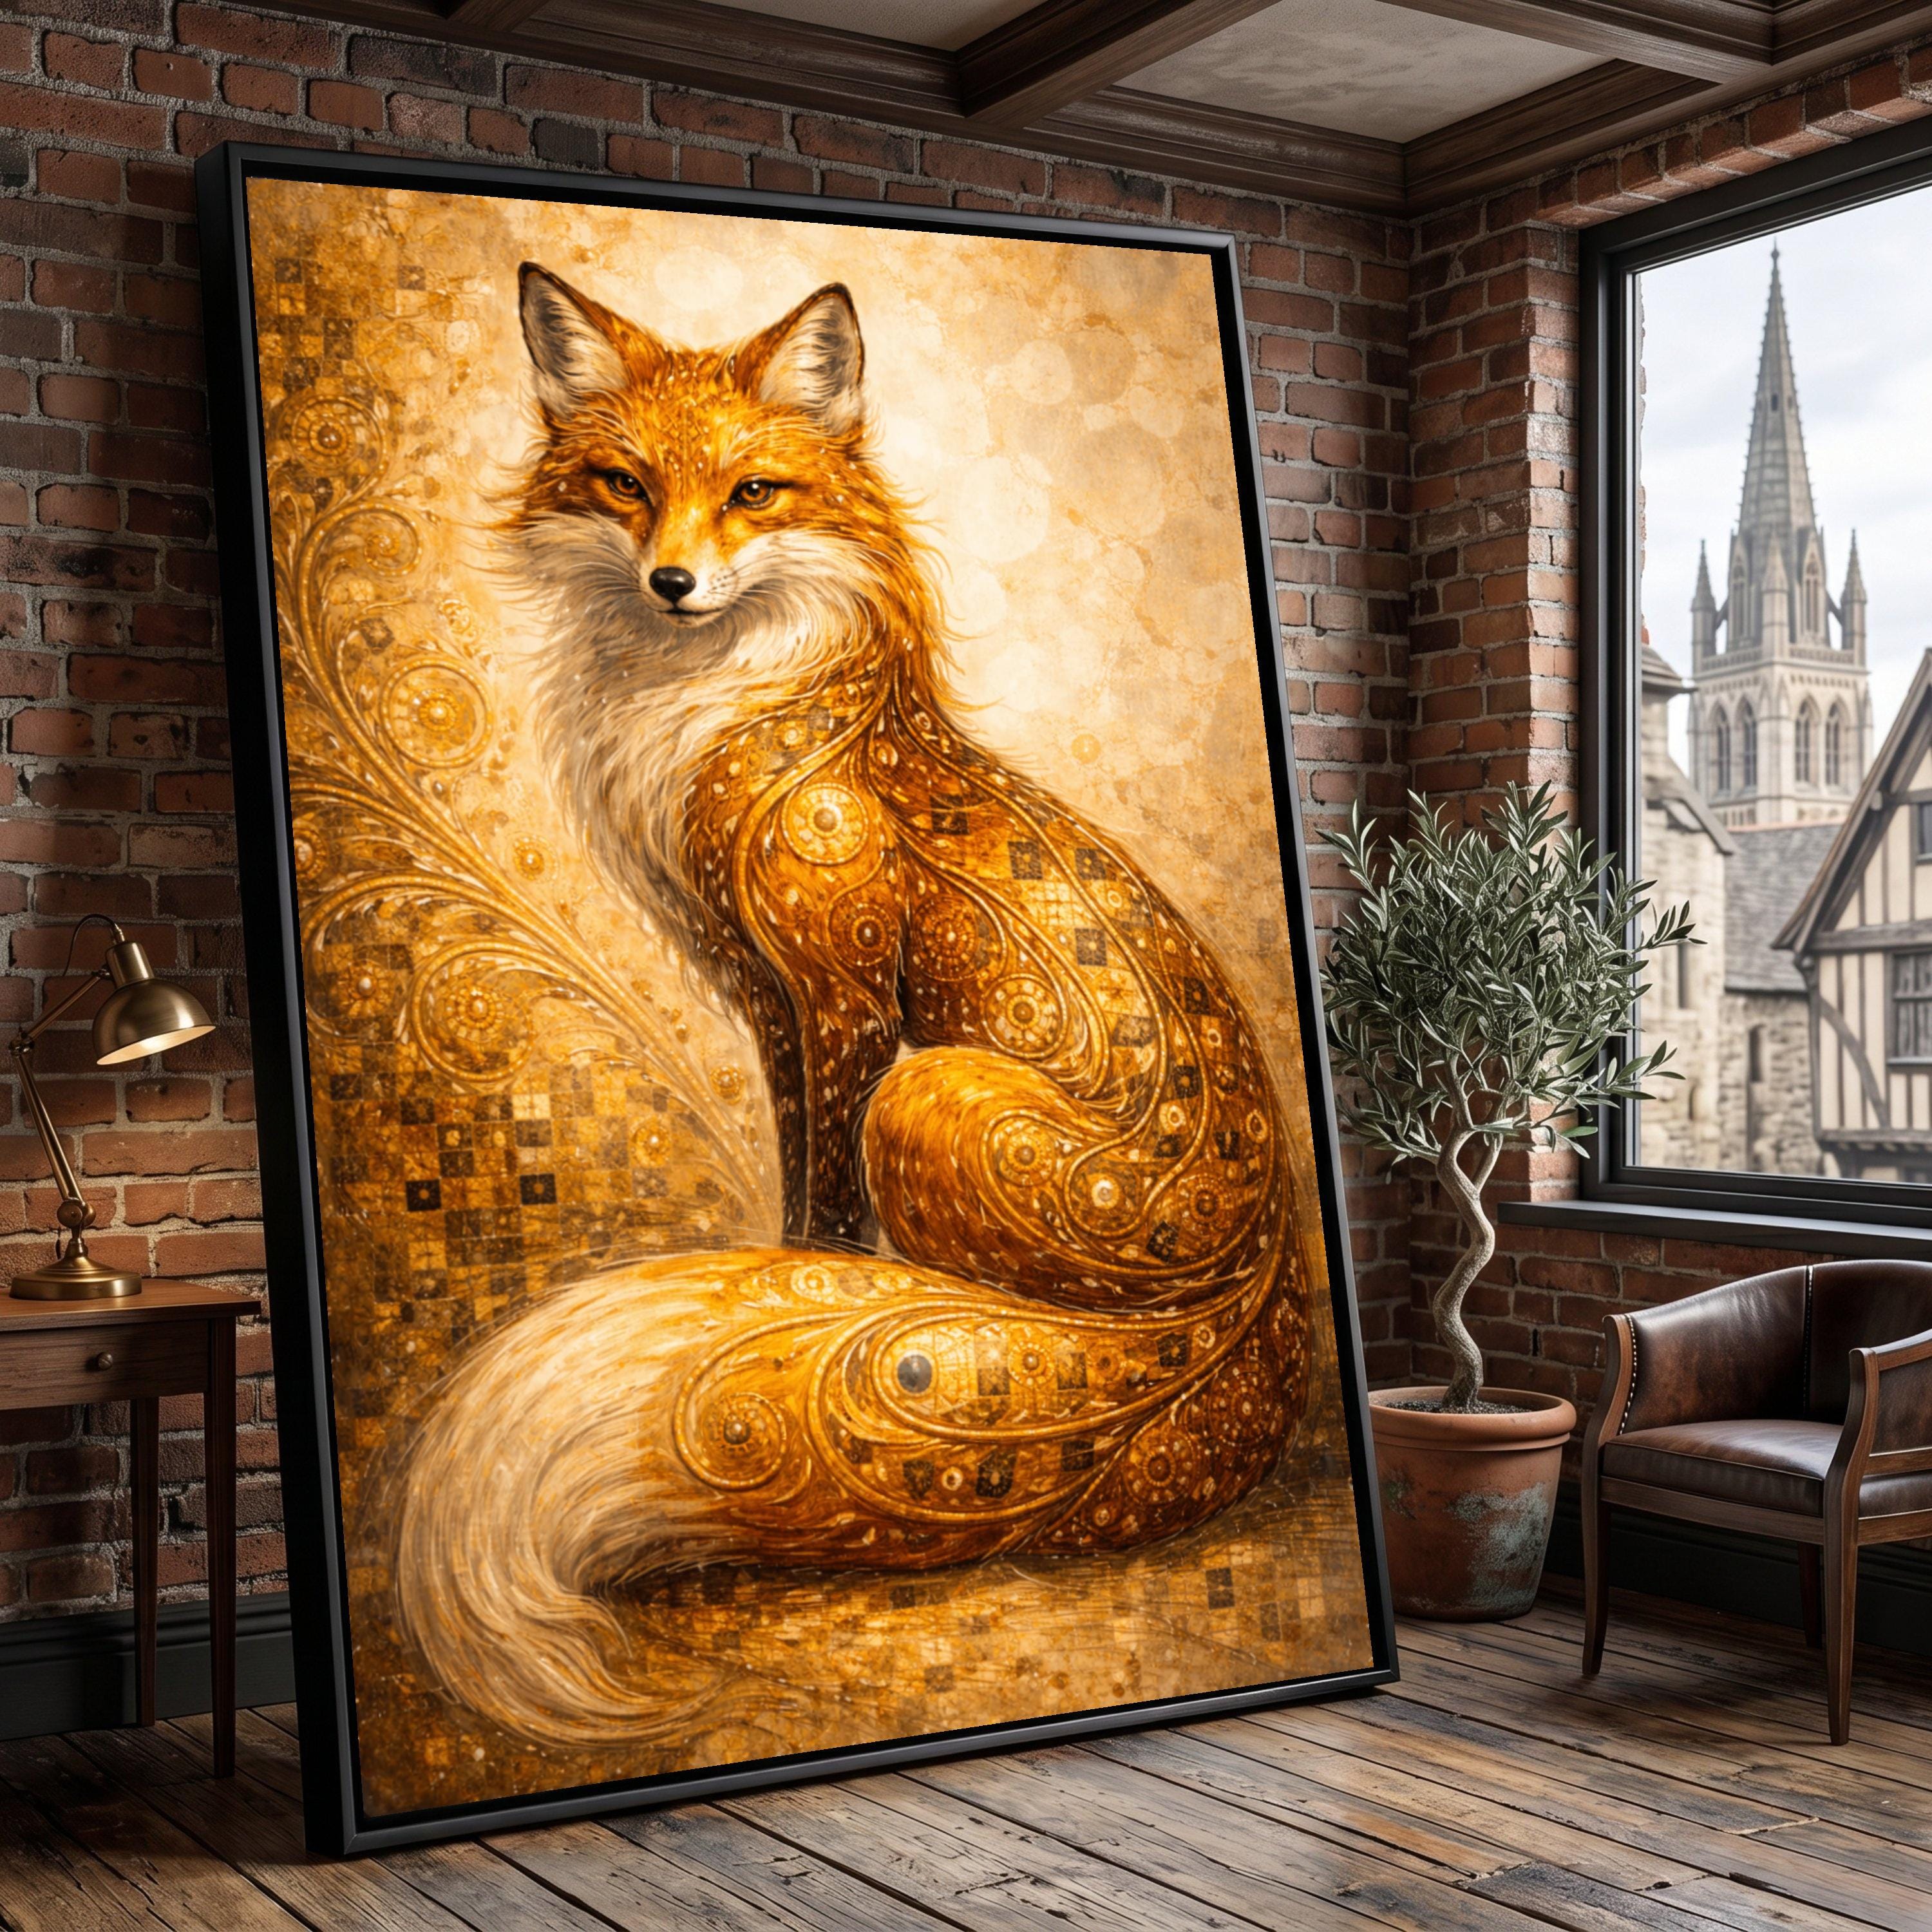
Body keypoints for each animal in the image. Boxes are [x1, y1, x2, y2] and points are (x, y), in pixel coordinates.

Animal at [391, 265, 1314, 1748]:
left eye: (754, 492)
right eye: (624, 485)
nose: (672, 581)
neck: (723, 716)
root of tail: (1256, 1283)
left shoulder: (844, 996)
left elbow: (831, 1205)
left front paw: (825, 1279)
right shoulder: (764, 994)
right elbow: (797, 1194)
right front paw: (791, 1268)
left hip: (931, 1095)